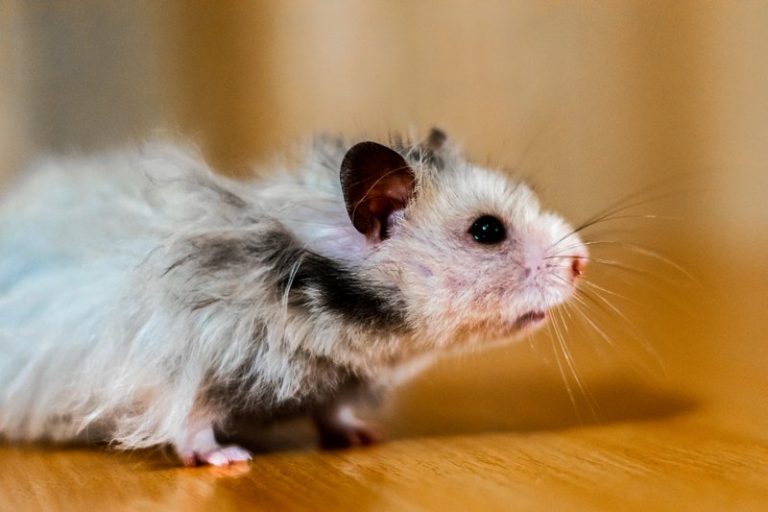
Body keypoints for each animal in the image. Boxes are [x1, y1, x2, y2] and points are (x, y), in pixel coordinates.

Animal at [0, 128, 587, 466]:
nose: (581, 263)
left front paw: (364, 436)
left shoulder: (341, 381)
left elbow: (334, 411)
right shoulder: (178, 362)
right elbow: (189, 420)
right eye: (487, 231)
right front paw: (228, 458)